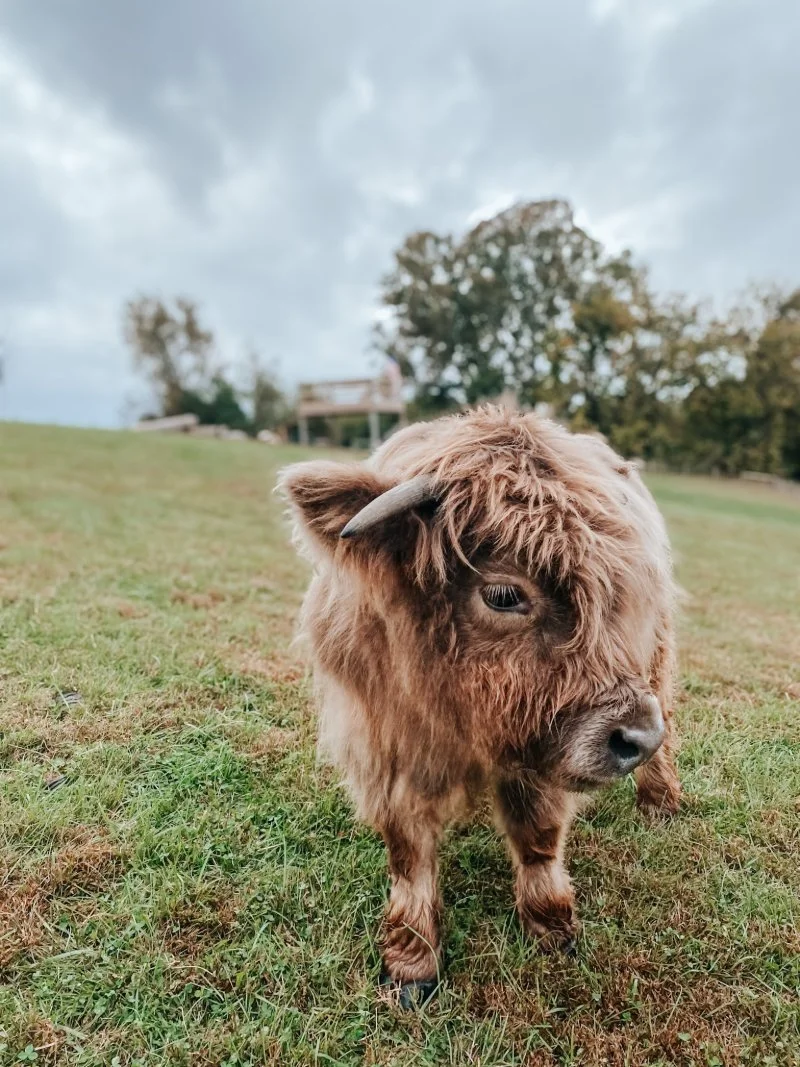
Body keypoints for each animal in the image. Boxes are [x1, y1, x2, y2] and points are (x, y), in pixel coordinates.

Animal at [279, 406, 681, 1008]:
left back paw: (660, 801)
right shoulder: (385, 747)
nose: (634, 739)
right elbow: (409, 856)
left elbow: (538, 836)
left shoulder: (540, 750)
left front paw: (551, 927)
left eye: (612, 592)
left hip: (655, 660)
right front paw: (412, 962)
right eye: (503, 595)